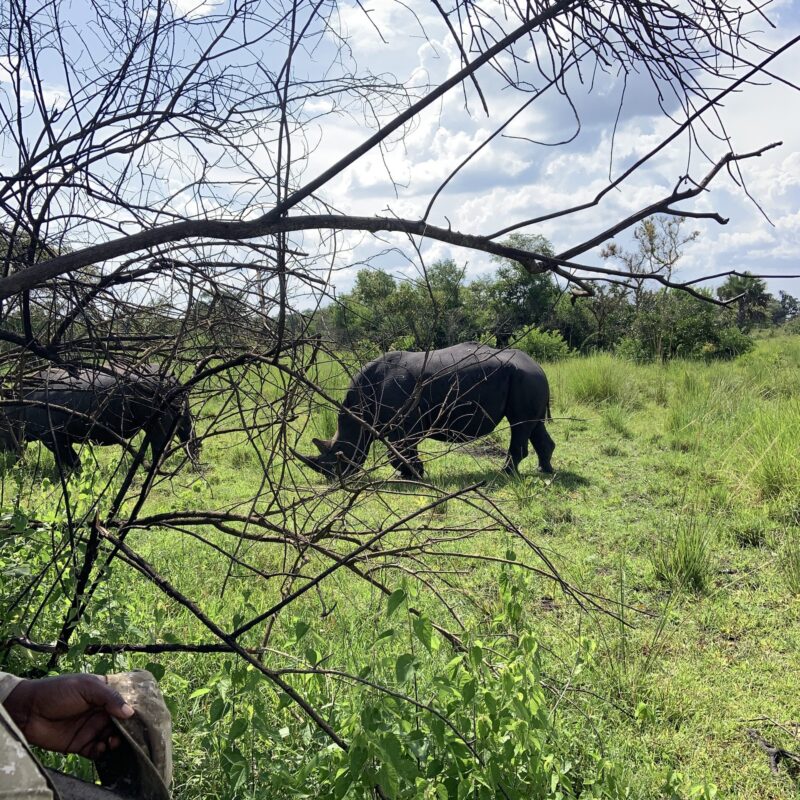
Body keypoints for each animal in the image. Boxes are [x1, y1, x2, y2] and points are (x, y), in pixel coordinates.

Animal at [0, 362, 200, 471]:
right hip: (177, 404)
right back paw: (195, 463)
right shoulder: (57, 438)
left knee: (159, 439)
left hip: (157, 407)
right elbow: (61, 461)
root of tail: (172, 378)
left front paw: (76, 477)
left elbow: (72, 460)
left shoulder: (54, 437)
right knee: (187, 433)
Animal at [297, 342, 554, 479]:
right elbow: (401, 451)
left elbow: (399, 451)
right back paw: (545, 471)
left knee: (519, 424)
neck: (358, 413)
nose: (334, 479)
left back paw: (505, 473)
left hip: (525, 378)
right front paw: (408, 474)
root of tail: (539, 366)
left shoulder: (404, 425)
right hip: (527, 379)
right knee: (533, 425)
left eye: (340, 452)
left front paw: (415, 474)